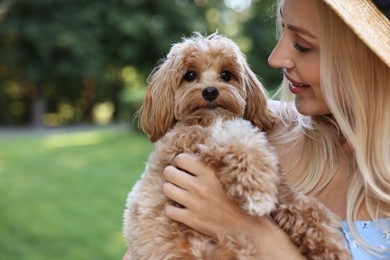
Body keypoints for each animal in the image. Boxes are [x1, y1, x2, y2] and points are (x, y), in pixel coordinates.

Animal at [123, 33, 352, 258]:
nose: (210, 91)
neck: (212, 120)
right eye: (189, 75)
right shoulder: (197, 142)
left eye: (226, 75)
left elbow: (297, 201)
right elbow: (244, 148)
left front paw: (327, 241)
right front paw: (257, 194)